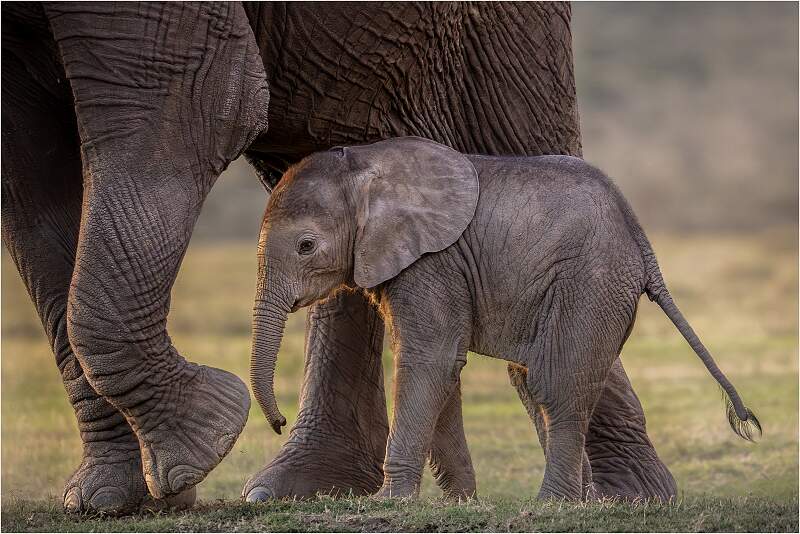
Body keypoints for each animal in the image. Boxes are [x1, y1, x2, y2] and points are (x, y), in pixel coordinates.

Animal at [2, 1, 676, 514]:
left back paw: (620, 499)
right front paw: (113, 501)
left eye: (305, 247)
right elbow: (30, 185)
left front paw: (195, 447)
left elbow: (196, 107)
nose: (270, 421)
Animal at [248, 137, 761, 500]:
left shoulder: (432, 260)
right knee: (531, 380)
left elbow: (427, 359)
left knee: (554, 383)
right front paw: (460, 504)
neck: (364, 165)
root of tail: (640, 239)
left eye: (306, 246)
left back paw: (553, 505)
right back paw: (584, 502)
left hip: (591, 279)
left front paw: (390, 503)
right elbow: (443, 367)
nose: (277, 423)